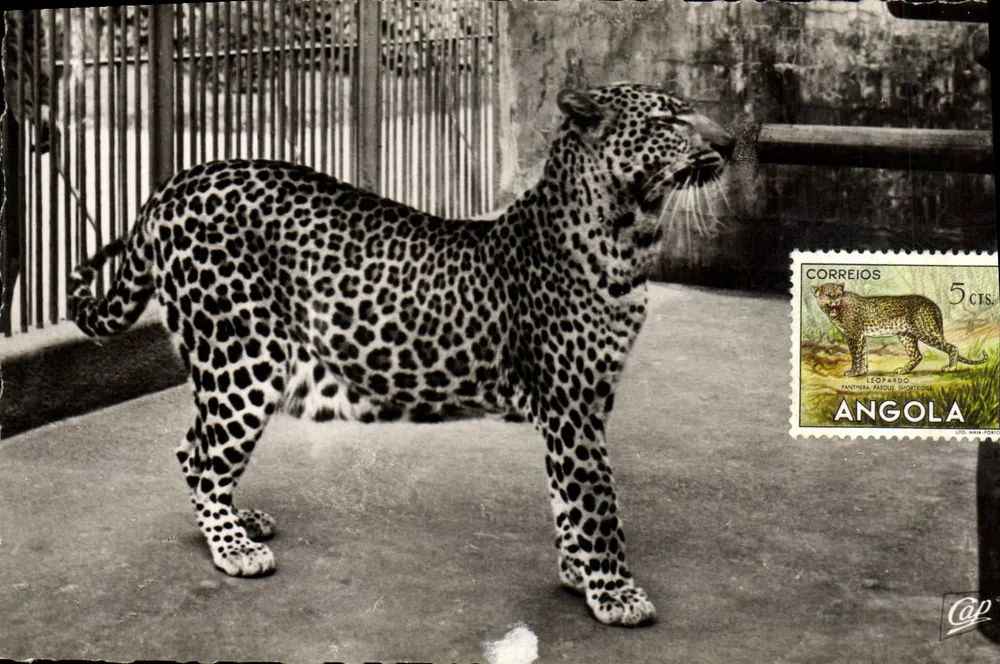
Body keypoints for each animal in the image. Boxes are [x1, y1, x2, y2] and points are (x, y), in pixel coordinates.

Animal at [69, 83, 733, 627]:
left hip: (224, 362)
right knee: (207, 456)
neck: (627, 236)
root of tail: (175, 183)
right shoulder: (570, 405)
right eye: (671, 118)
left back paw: (240, 519)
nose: (730, 141)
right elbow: (598, 502)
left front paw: (578, 572)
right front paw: (615, 592)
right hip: (242, 356)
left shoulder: (585, 405)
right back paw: (233, 546)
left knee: (192, 448)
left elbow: (569, 495)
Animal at [811, 282, 989, 377]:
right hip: (906, 335)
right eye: (828, 295)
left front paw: (854, 371)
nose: (834, 301)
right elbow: (863, 354)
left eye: (837, 295)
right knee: (917, 355)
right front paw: (862, 371)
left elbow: (856, 355)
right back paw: (903, 370)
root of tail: (932, 304)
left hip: (925, 331)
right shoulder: (861, 336)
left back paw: (951, 367)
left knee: (952, 347)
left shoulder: (854, 335)